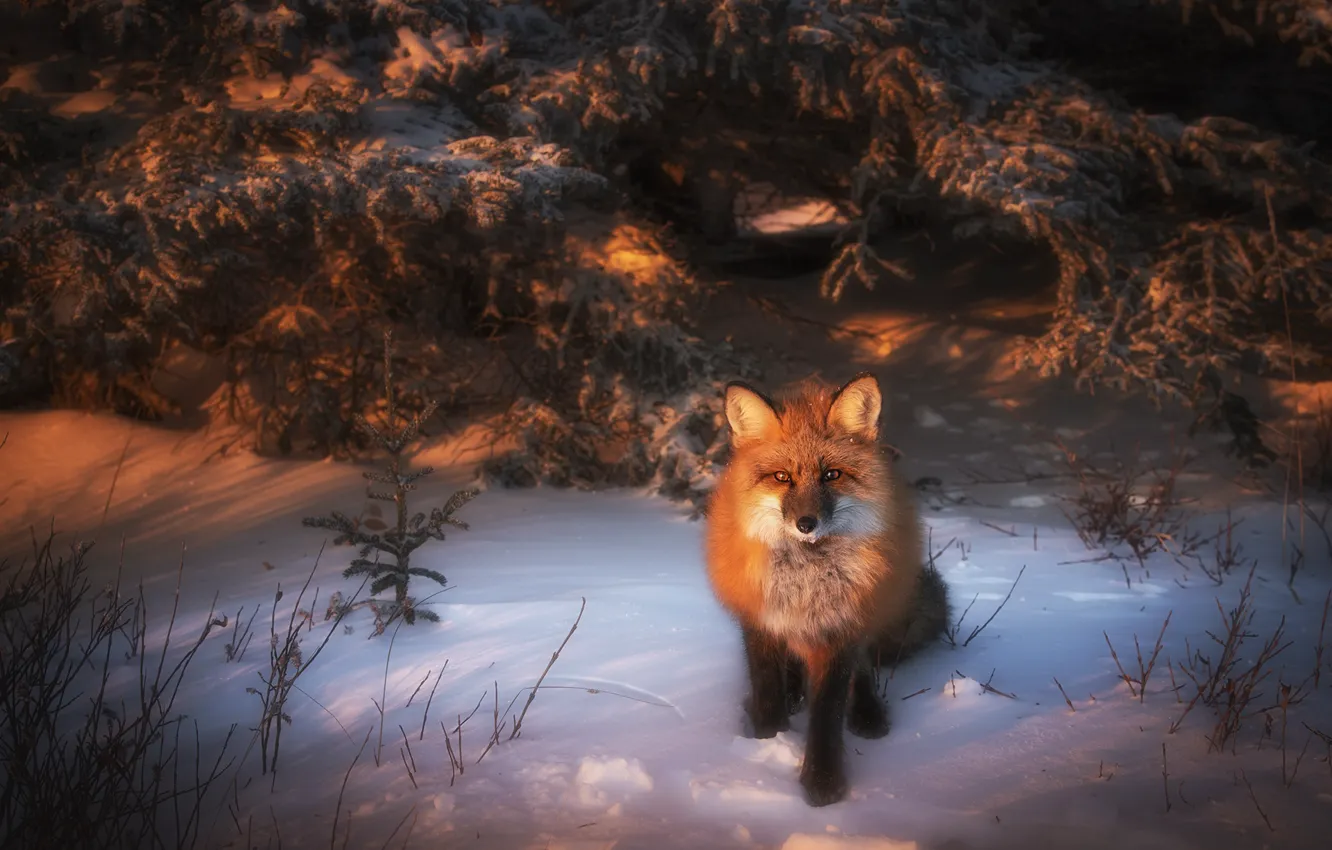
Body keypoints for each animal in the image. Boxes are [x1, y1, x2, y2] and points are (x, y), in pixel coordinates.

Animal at [704, 372, 950, 806]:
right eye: (782, 477)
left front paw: (822, 782)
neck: (806, 579)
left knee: (865, 668)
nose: (806, 523)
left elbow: (828, 712)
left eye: (832, 475)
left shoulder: (840, 629)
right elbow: (767, 686)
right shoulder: (759, 620)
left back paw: (867, 713)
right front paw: (767, 739)